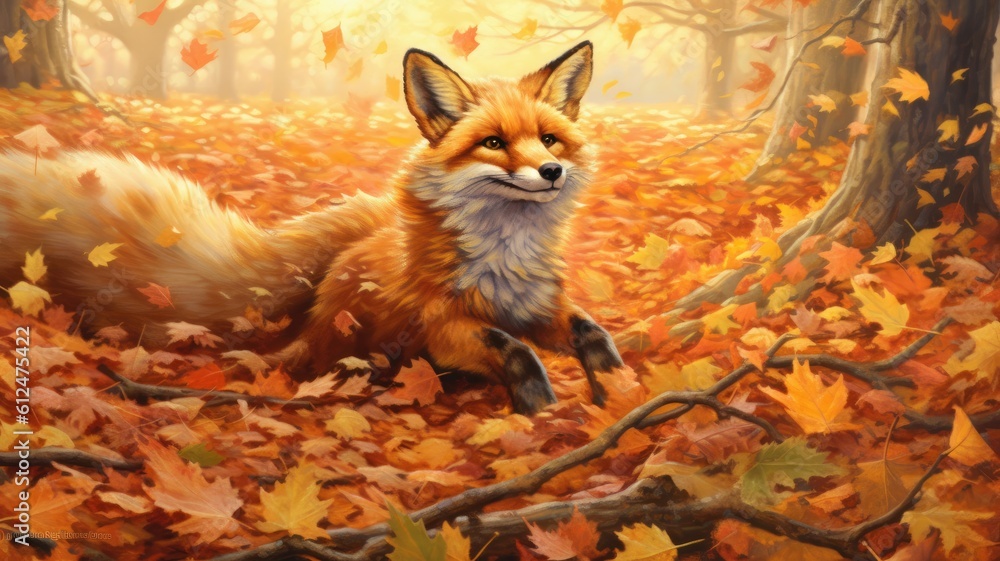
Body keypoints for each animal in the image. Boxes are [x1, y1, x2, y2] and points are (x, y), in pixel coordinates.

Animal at [0, 41, 623, 414]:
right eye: (493, 143)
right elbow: (512, 349)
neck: (504, 255)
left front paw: (618, 390)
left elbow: (591, 335)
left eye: (548, 140)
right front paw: (541, 405)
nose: (550, 172)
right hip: (361, 341)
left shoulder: (538, 306)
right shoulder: (443, 325)